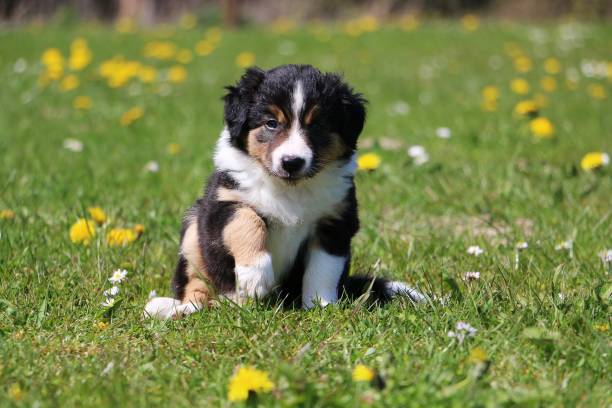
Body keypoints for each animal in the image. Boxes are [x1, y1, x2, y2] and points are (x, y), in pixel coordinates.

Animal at [145, 63, 424, 318]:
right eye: (271, 123)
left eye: (317, 125)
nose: (292, 162)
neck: (290, 189)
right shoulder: (223, 203)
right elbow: (248, 220)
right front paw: (255, 276)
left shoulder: (335, 221)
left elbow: (323, 269)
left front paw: (321, 306)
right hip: (193, 229)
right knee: (196, 285)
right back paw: (178, 308)